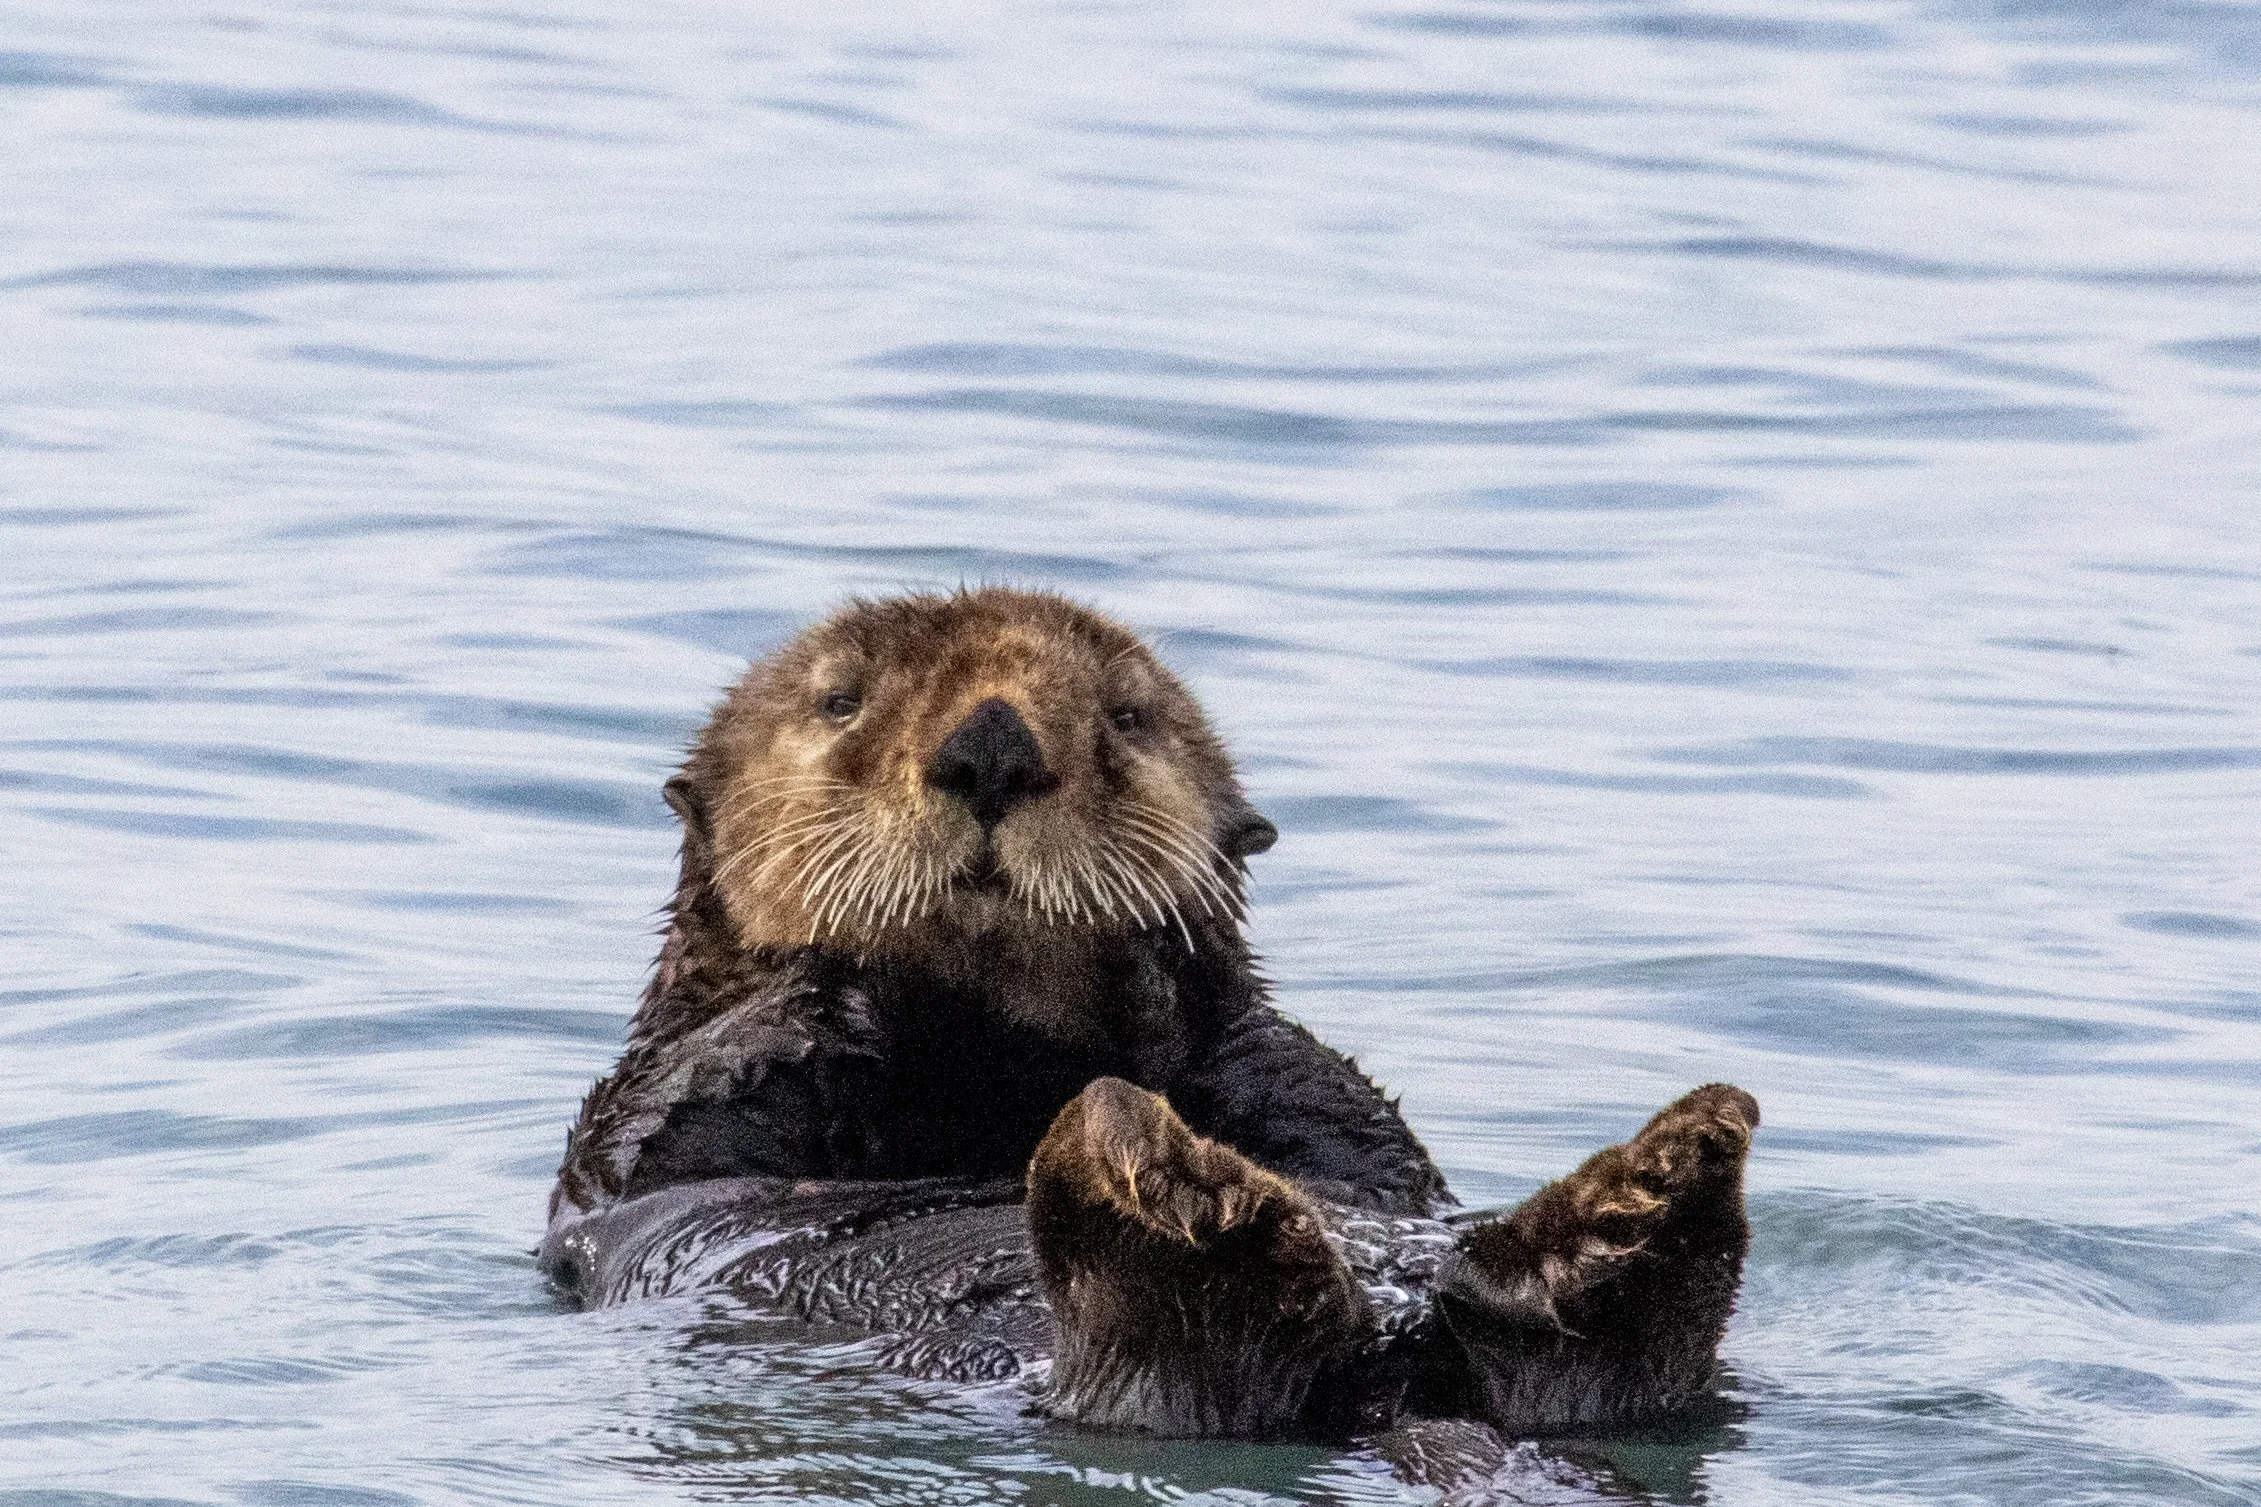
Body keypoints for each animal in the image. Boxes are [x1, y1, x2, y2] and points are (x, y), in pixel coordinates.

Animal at [541, 587, 1759, 1454]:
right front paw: (854, 961)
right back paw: (1174, 1203)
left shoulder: (1328, 1116)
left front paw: (1149, 964)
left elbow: (1340, 1116)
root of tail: (1389, 1385)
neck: (988, 1072)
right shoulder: (637, 1134)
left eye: (1127, 718)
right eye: (839, 702)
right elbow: (693, 1096)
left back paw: (1647, 1189)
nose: (991, 744)